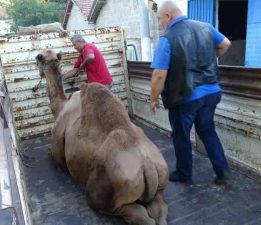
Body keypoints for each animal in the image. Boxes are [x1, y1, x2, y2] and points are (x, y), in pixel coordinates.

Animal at [34, 49, 169, 225]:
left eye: (39, 59)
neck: (60, 107)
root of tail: (148, 166)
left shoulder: (58, 148)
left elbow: (52, 155)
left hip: (108, 190)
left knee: (132, 212)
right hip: (160, 180)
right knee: (160, 208)